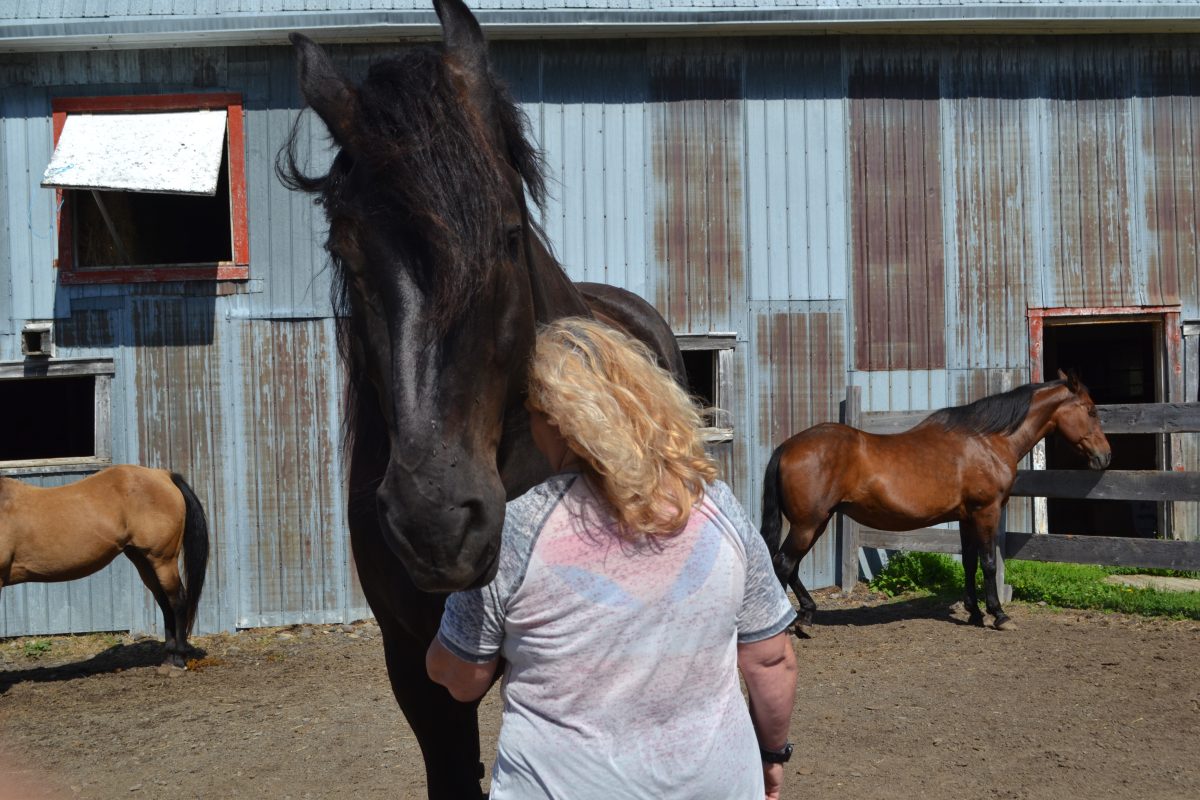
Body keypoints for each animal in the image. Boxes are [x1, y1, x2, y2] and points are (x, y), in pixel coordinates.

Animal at [0, 465, 209, 667]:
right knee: (165, 603)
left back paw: (179, 659)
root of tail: (163, 475)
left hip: (163, 559)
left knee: (177, 601)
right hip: (143, 560)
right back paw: (168, 658)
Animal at [761, 371, 1111, 635]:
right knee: (784, 564)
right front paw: (998, 614)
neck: (986, 441)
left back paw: (806, 615)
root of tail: (788, 447)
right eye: (1091, 410)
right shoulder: (986, 512)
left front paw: (974, 613)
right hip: (808, 524)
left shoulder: (966, 517)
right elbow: (989, 562)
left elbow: (969, 562)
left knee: (789, 566)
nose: (1105, 456)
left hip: (816, 522)